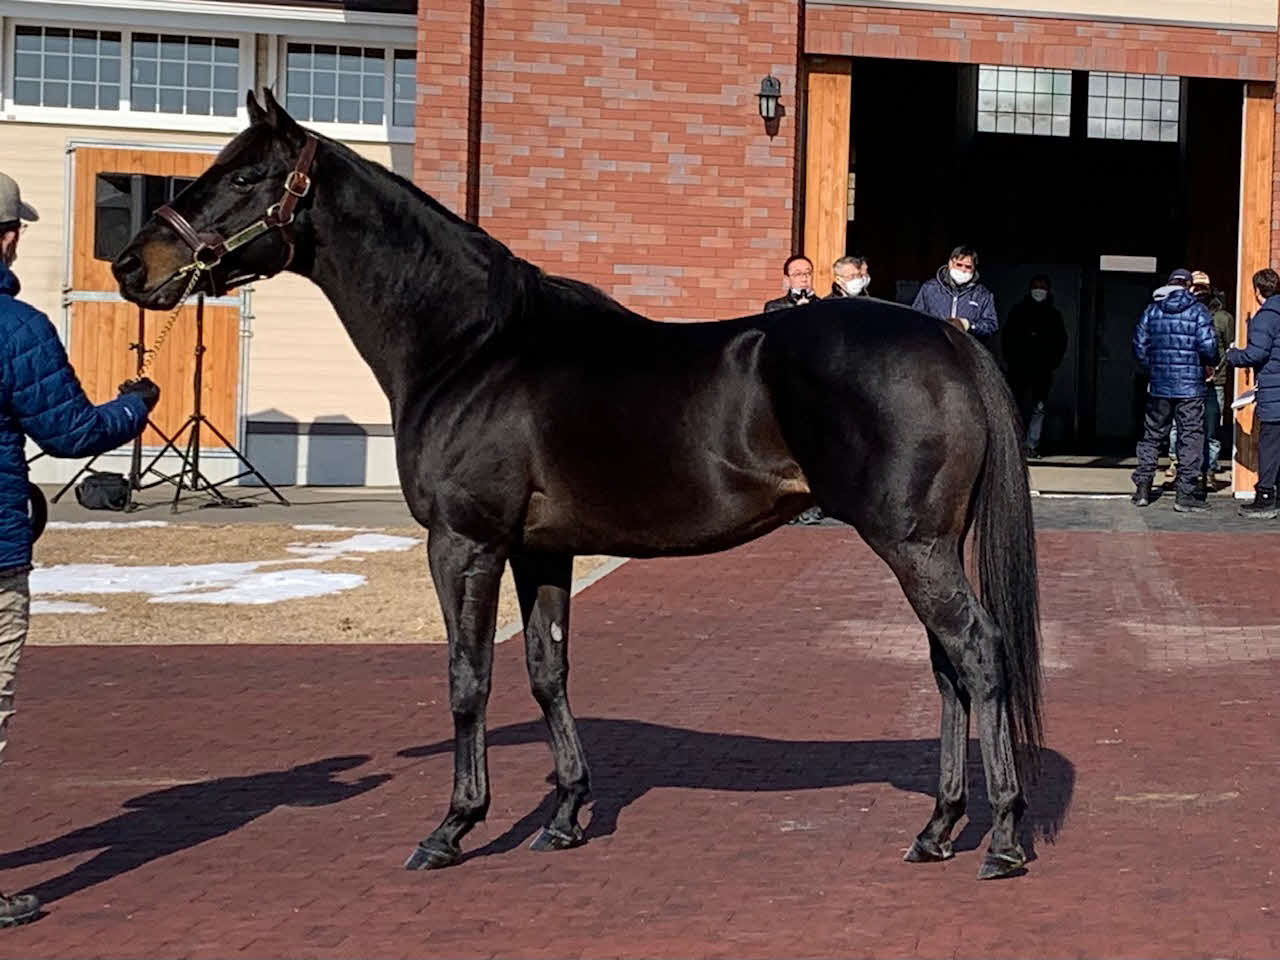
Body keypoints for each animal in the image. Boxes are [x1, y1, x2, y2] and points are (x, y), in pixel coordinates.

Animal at [112, 89, 1044, 881]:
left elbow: (468, 677)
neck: (475, 346)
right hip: (926, 546)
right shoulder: (540, 552)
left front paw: (454, 827)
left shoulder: (465, 543)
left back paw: (1001, 835)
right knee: (949, 669)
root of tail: (948, 338)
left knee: (978, 653)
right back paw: (939, 827)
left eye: (244, 176)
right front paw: (563, 815)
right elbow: (546, 670)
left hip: (913, 545)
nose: (129, 264)